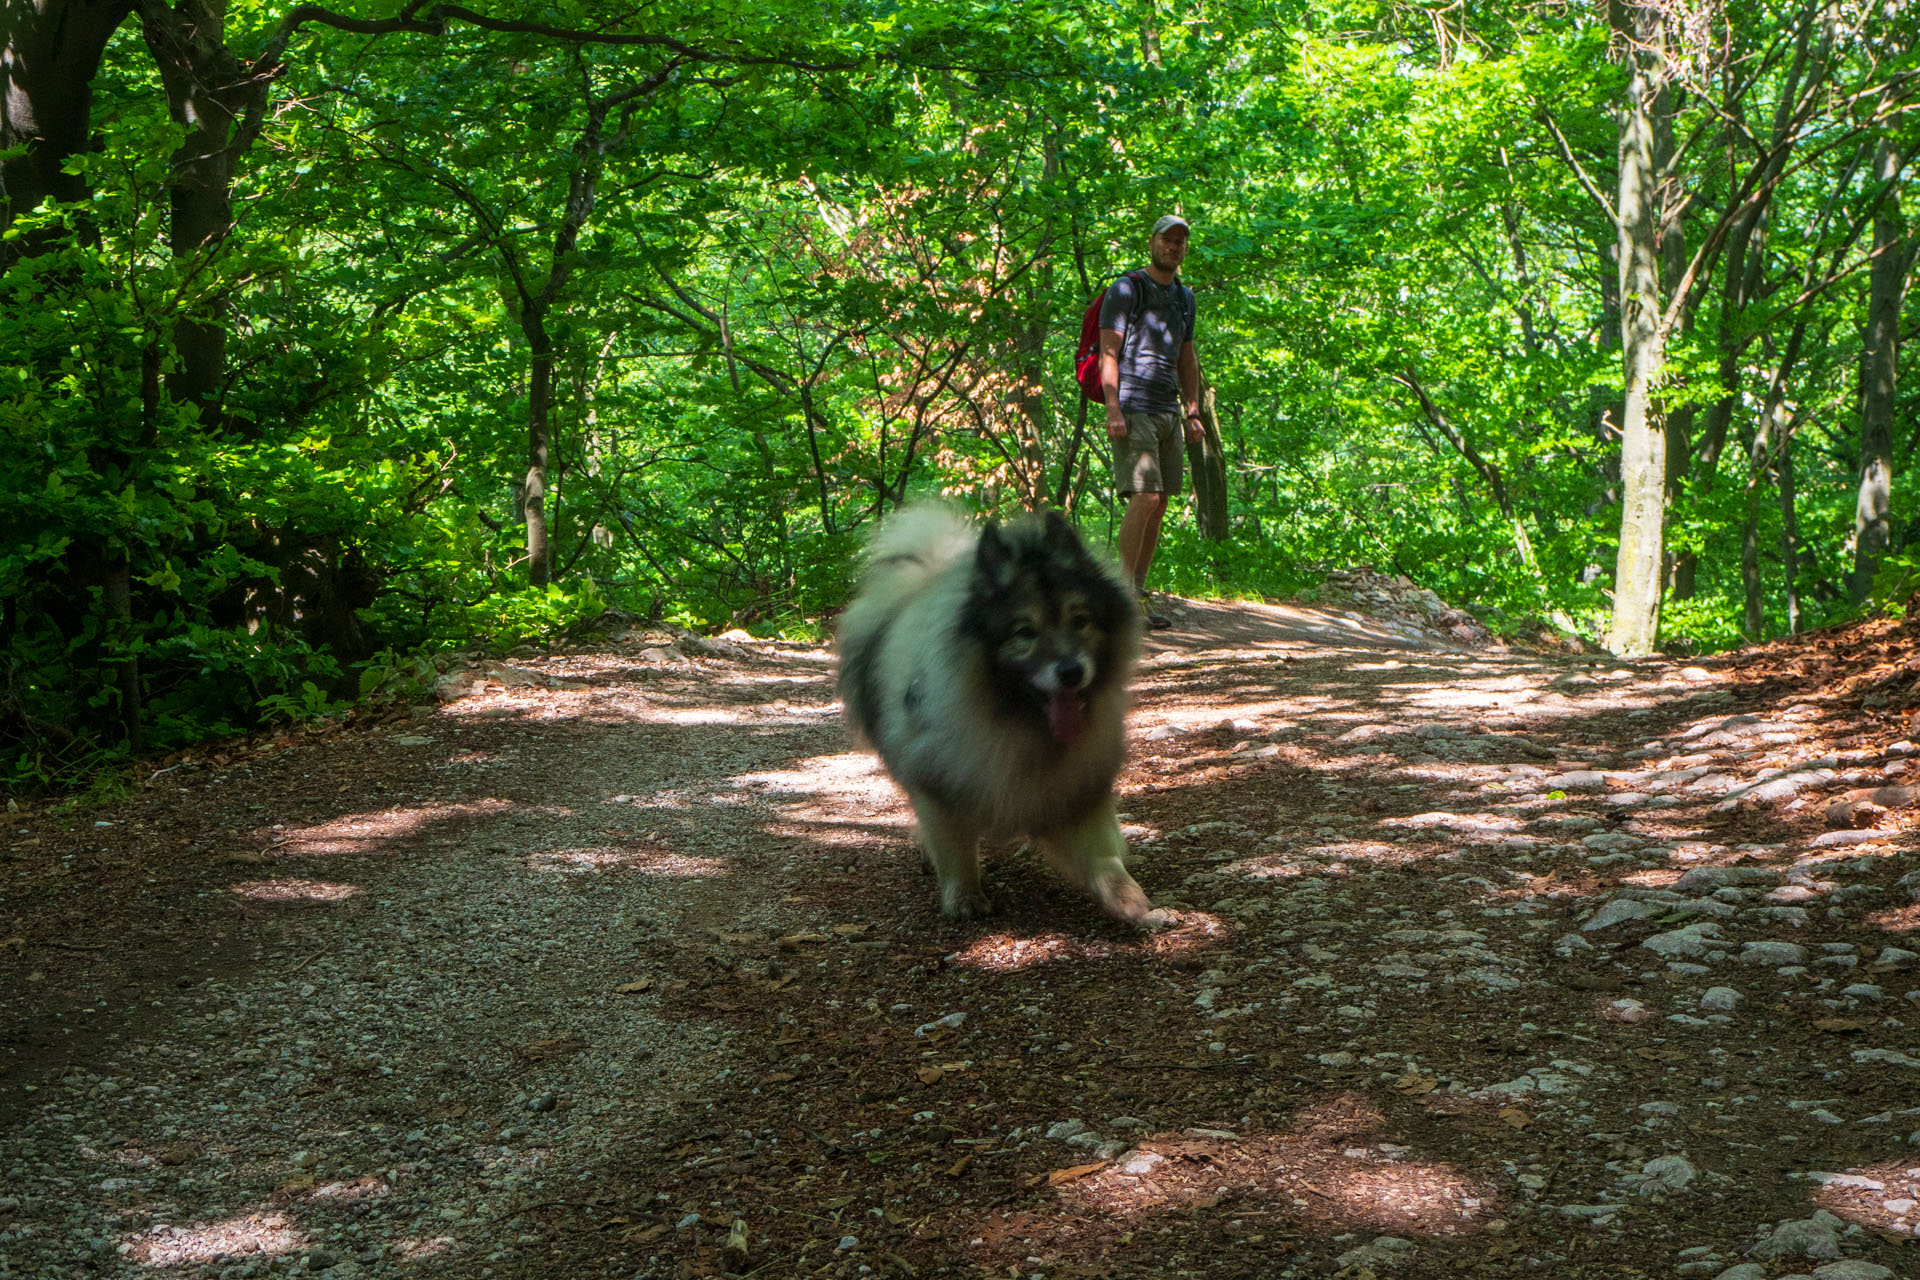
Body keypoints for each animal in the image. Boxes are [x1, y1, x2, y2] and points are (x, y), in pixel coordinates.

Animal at [837, 506, 1159, 924]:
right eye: (1024, 632)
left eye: (1080, 620)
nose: (1071, 671)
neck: (1017, 722)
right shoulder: (940, 781)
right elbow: (953, 846)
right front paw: (964, 896)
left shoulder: (1076, 787)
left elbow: (1102, 856)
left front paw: (1128, 898)